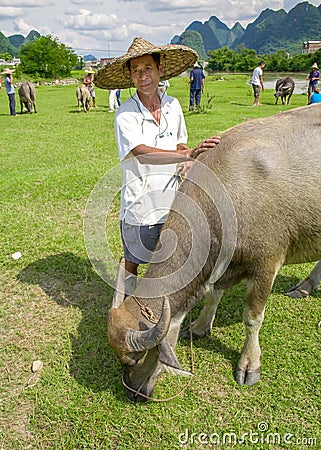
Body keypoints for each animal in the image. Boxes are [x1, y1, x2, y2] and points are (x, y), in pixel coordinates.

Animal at [107, 103, 320, 400]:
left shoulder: (267, 264)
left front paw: (249, 364)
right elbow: (212, 296)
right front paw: (199, 327)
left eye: (135, 359)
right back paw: (305, 286)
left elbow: (252, 319)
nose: (133, 393)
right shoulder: (220, 265)